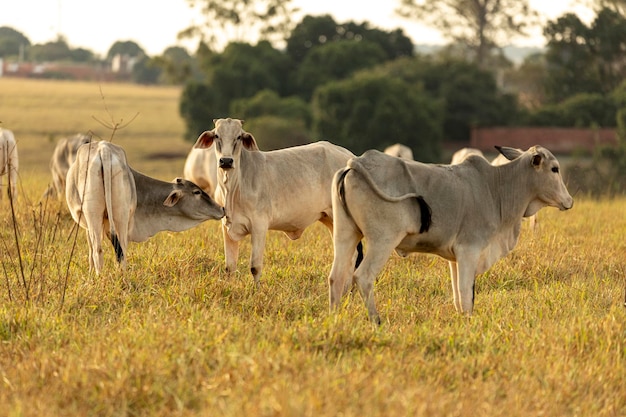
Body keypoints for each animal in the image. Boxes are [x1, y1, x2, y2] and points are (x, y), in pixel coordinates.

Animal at [65, 141, 224, 274]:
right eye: (197, 192)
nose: (222, 209)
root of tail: (104, 150)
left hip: (109, 216)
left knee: (105, 251)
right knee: (111, 251)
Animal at [190, 118, 356, 286]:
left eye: (239, 137)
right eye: (217, 135)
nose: (226, 161)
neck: (233, 188)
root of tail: (349, 156)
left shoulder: (259, 226)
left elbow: (255, 267)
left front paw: (256, 290)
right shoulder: (226, 227)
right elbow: (230, 267)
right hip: (329, 219)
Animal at [330, 145, 572, 324]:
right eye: (555, 169)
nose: (569, 201)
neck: (496, 188)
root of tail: (357, 163)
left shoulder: (454, 258)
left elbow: (458, 297)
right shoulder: (469, 250)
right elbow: (466, 294)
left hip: (345, 235)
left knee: (336, 276)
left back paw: (335, 318)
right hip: (382, 240)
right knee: (363, 277)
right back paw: (376, 320)